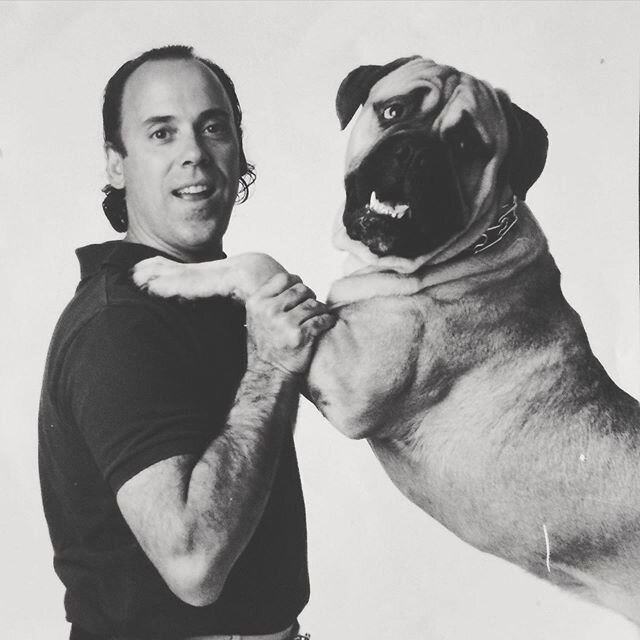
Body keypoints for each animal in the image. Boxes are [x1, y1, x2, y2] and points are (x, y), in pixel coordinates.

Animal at [134, 56, 640, 624]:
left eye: (466, 144)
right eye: (393, 110)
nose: (415, 150)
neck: (462, 255)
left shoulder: (351, 379)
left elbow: (262, 263)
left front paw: (169, 274)